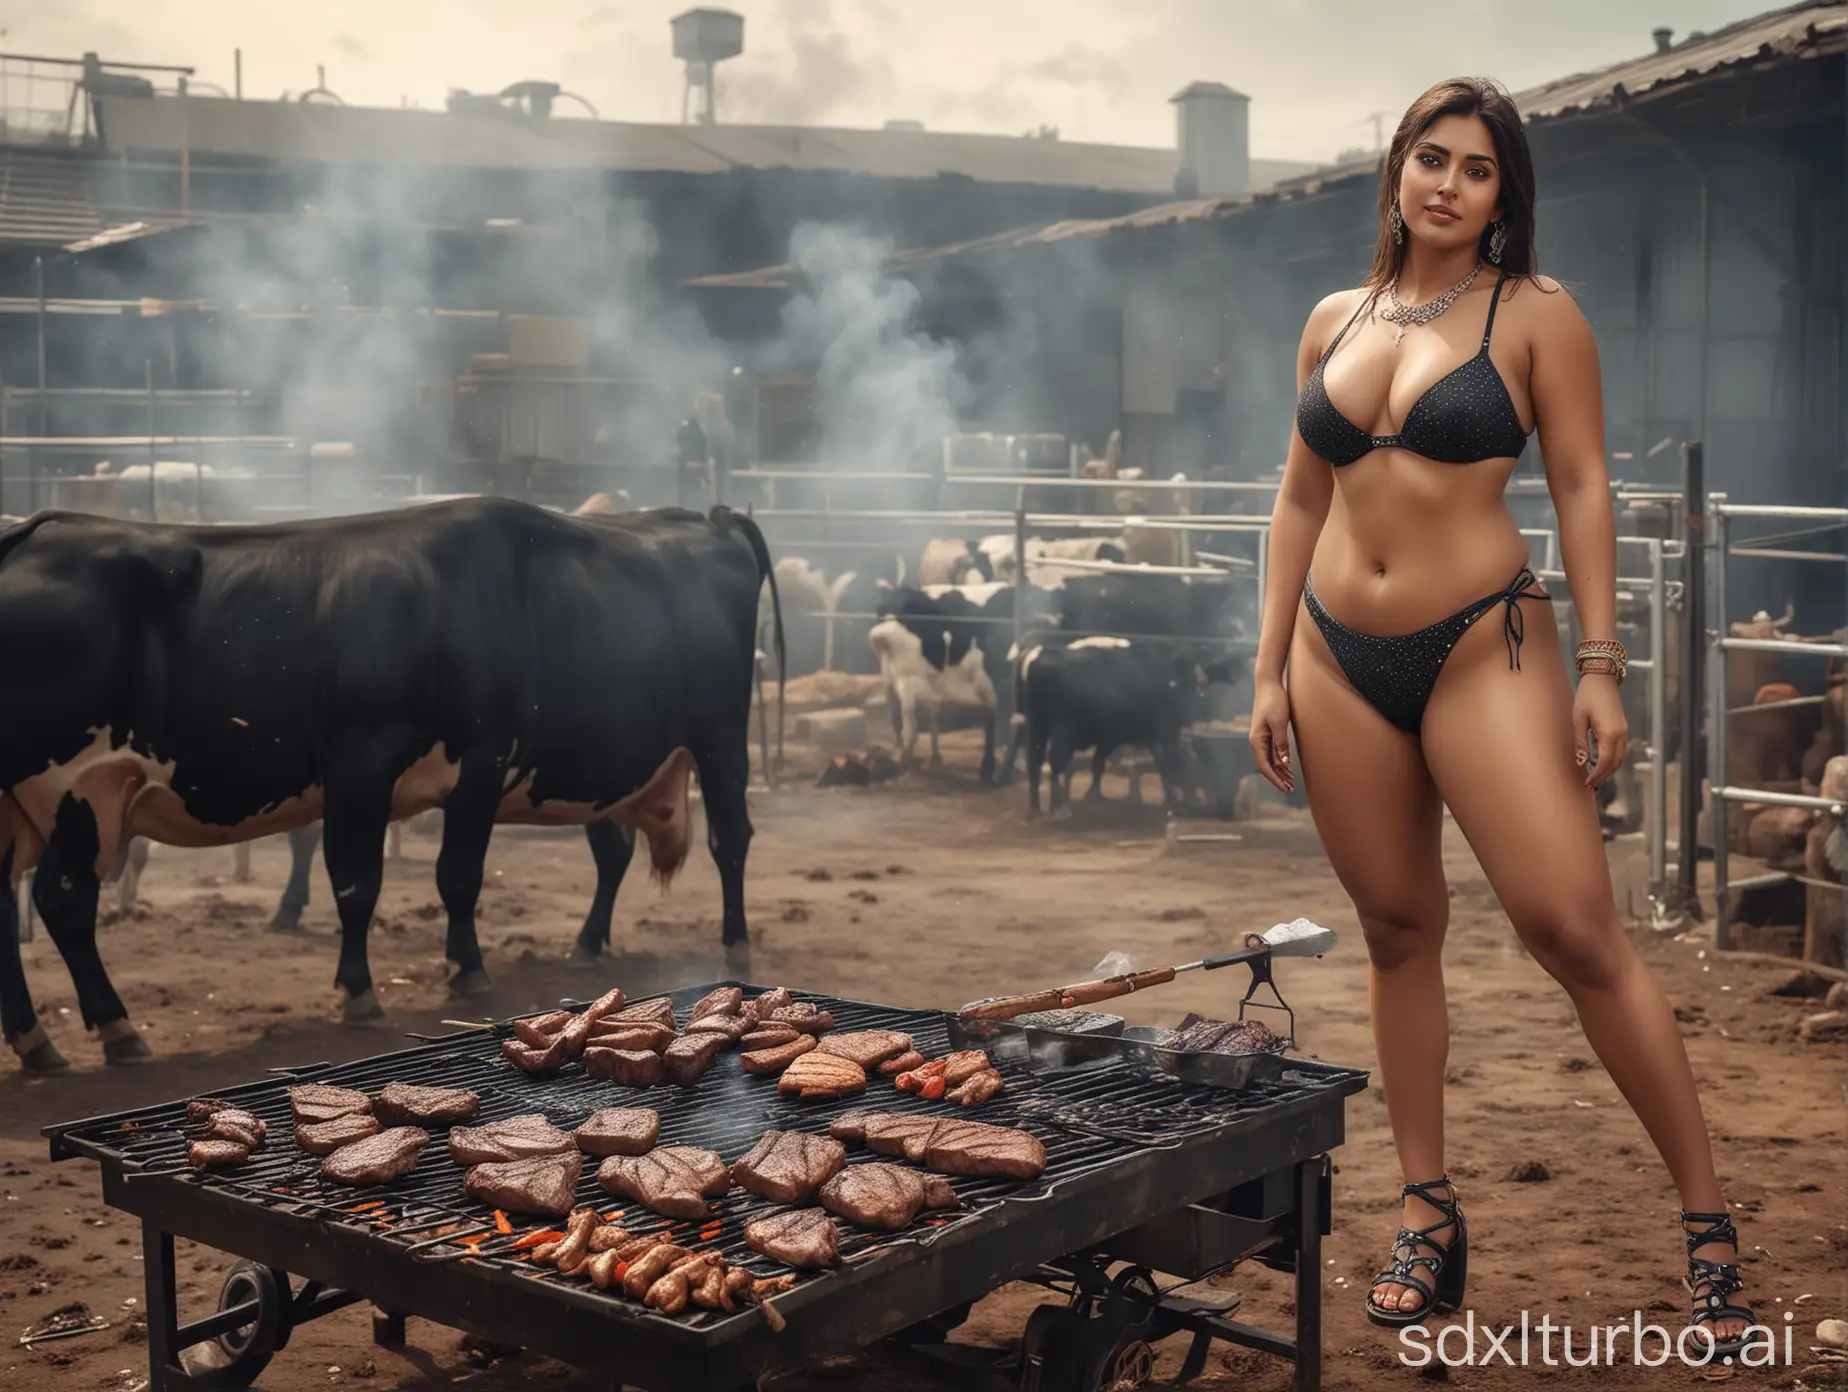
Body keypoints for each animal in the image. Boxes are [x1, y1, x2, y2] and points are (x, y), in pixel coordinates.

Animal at [0, 495, 787, 1072]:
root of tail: (706, 517)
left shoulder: (463, 759)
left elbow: (432, 877)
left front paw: (432, 974)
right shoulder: (373, 762)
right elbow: (365, 880)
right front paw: (377, 985)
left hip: (720, 734)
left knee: (729, 838)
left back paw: (731, 943)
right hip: (71, 793)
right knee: (56, 905)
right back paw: (88, 1032)